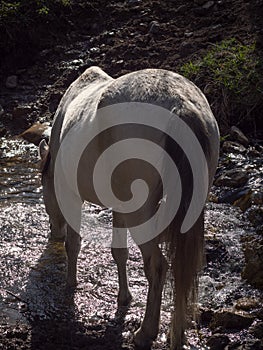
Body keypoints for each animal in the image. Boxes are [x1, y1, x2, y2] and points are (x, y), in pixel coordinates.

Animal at [39, 67, 221, 348]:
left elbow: (74, 244)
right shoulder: (119, 206)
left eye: (42, 185)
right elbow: (119, 253)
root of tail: (181, 104)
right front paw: (124, 298)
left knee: (158, 266)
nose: (53, 233)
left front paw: (70, 285)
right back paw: (177, 334)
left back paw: (146, 332)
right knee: (182, 269)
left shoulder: (70, 196)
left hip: (140, 210)